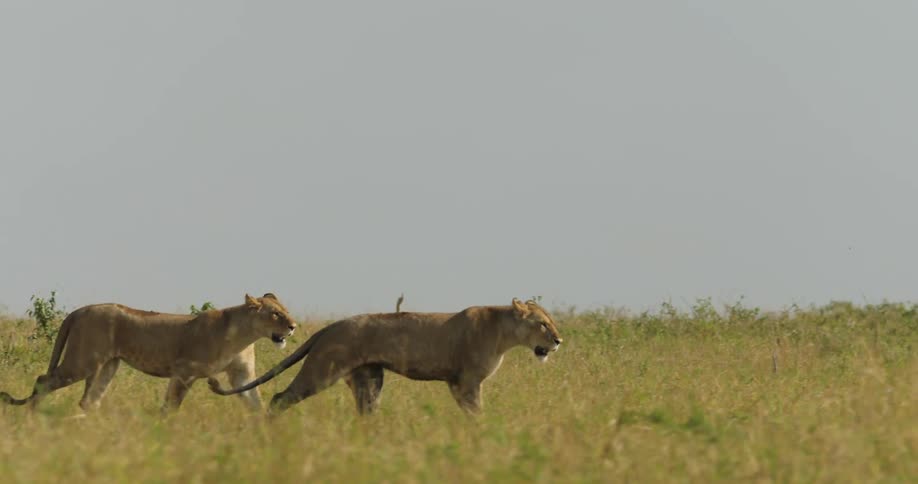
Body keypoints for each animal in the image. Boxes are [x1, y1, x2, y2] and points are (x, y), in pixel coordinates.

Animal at [0, 293, 297, 414]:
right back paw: (34, 418)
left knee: (88, 400)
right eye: (275, 314)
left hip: (108, 365)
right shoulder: (184, 371)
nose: (294, 326)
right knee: (43, 380)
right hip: (83, 361)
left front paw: (265, 429)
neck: (245, 336)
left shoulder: (241, 375)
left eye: (286, 310)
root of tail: (81, 310)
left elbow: (255, 402)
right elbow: (171, 407)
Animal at [208, 298, 562, 415]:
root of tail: (332, 326)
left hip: (370, 377)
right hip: (323, 370)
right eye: (542, 324)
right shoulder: (465, 381)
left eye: (552, 321)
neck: (504, 332)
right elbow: (476, 411)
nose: (559, 340)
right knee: (280, 397)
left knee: (366, 411)